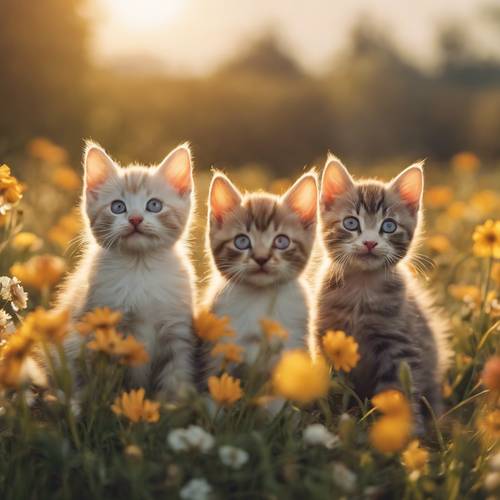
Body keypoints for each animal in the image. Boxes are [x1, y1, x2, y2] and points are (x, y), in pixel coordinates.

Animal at [58, 143, 195, 400]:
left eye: (154, 205)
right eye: (118, 207)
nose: (135, 219)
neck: (140, 268)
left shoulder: (178, 329)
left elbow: (177, 379)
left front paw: (171, 408)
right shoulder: (106, 327)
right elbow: (113, 381)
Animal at [312, 154, 450, 432]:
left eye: (389, 226)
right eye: (351, 223)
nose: (369, 242)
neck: (361, 289)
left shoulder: (398, 344)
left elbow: (398, 392)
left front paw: (404, 433)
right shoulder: (329, 337)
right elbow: (332, 385)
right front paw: (328, 420)